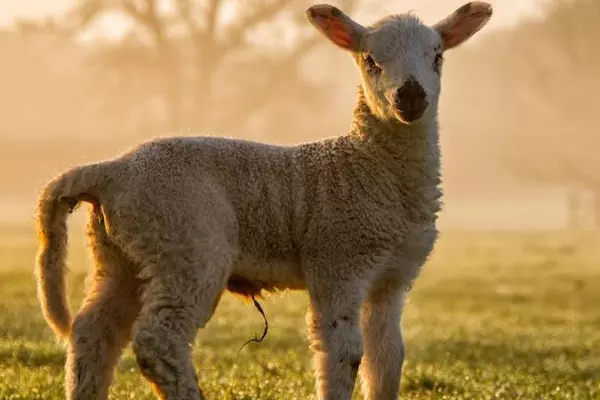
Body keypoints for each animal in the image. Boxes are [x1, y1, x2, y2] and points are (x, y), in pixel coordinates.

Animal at [32, 1, 492, 398]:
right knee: (158, 339)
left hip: (122, 253)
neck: (368, 167)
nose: (410, 96)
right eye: (370, 60)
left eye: (438, 56)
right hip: (185, 243)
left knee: (94, 332)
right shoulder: (338, 261)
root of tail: (112, 169)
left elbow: (387, 358)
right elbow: (343, 354)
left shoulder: (393, 278)